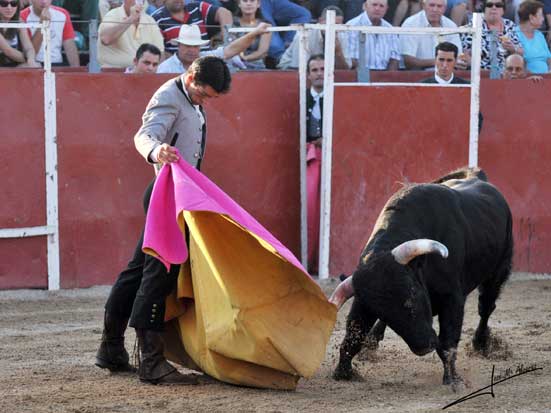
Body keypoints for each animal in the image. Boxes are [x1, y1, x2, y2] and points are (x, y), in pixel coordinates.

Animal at [328, 167, 512, 386]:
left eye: (412, 295)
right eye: (383, 312)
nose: (424, 346)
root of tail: (479, 179)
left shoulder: (452, 298)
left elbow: (448, 341)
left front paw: (453, 379)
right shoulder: (364, 299)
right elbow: (354, 334)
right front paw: (343, 371)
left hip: (498, 271)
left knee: (486, 307)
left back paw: (481, 343)